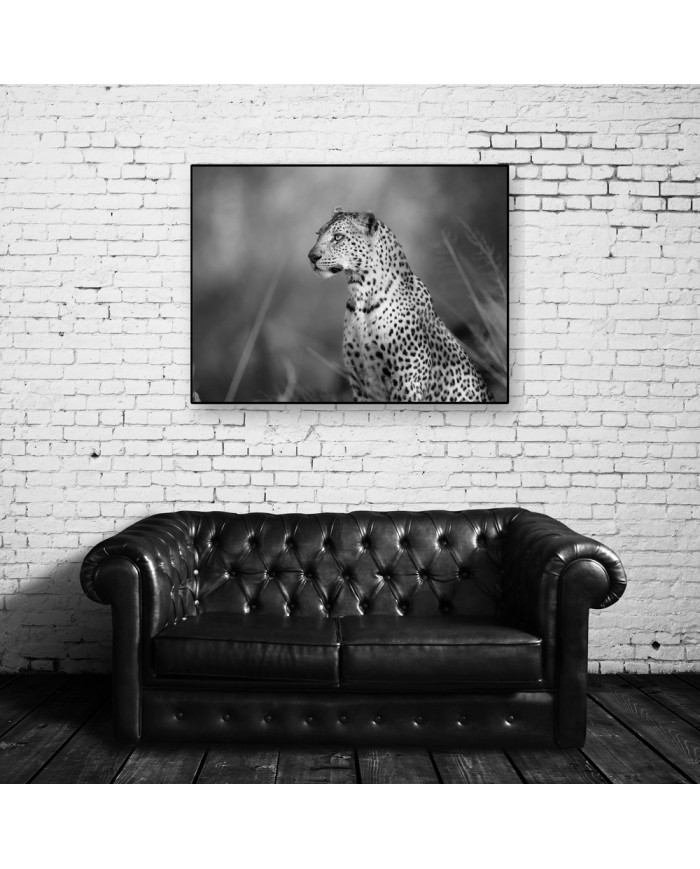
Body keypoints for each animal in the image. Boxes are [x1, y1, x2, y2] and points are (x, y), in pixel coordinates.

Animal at [307, 207, 495, 403]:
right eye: (318, 234)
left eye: (338, 237)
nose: (311, 257)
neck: (360, 295)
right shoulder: (359, 383)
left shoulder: (407, 381)